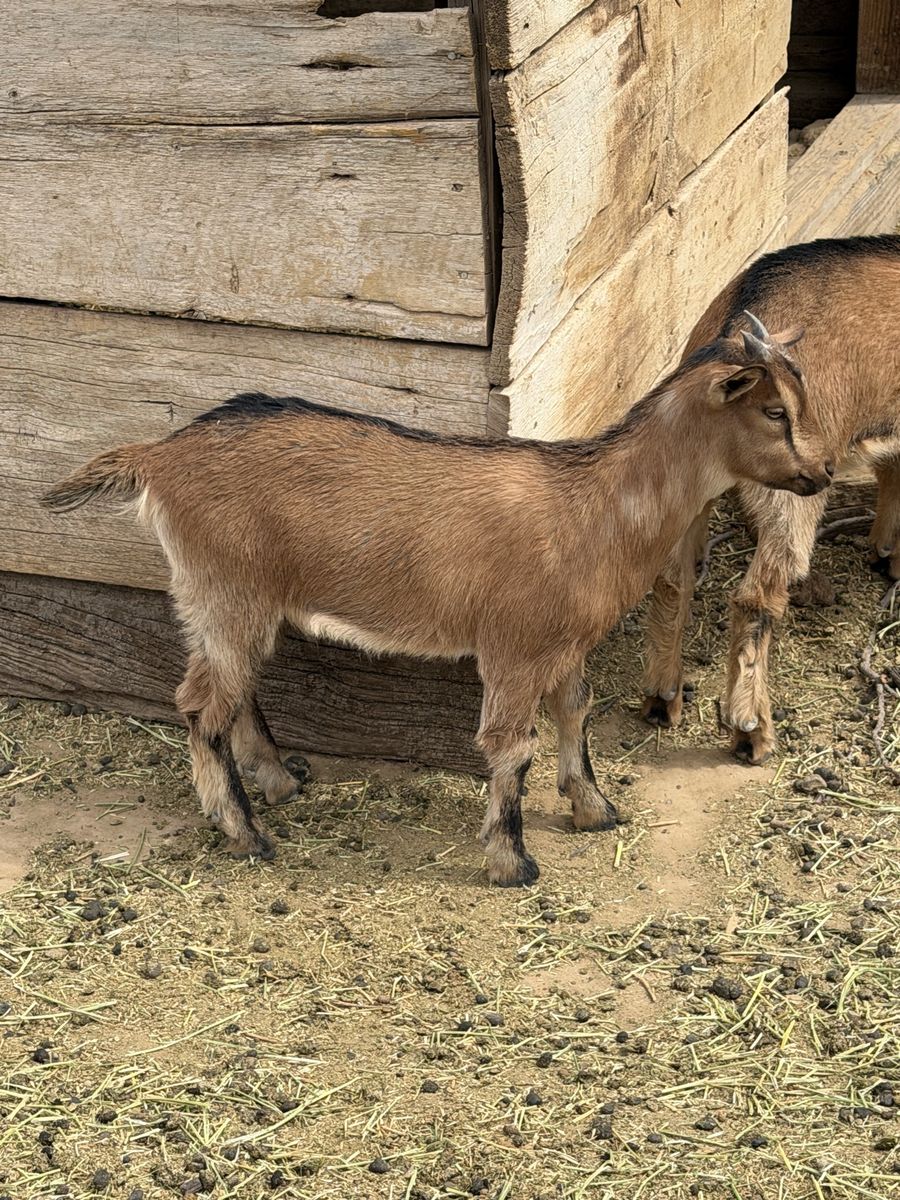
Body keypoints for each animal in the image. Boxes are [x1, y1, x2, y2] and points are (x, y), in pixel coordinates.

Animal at [42, 323, 829, 886]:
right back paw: (246, 834)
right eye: (773, 410)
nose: (820, 473)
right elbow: (511, 746)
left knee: (233, 696)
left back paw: (280, 783)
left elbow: (574, 712)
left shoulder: (564, 645)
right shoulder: (515, 647)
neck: (594, 507)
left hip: (234, 604)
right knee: (203, 707)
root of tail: (158, 456)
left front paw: (595, 810)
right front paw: (512, 862)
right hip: (225, 590)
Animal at [642, 234, 900, 765]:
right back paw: (750, 729)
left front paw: (886, 550)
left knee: (674, 578)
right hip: (791, 492)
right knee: (755, 596)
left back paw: (662, 696)